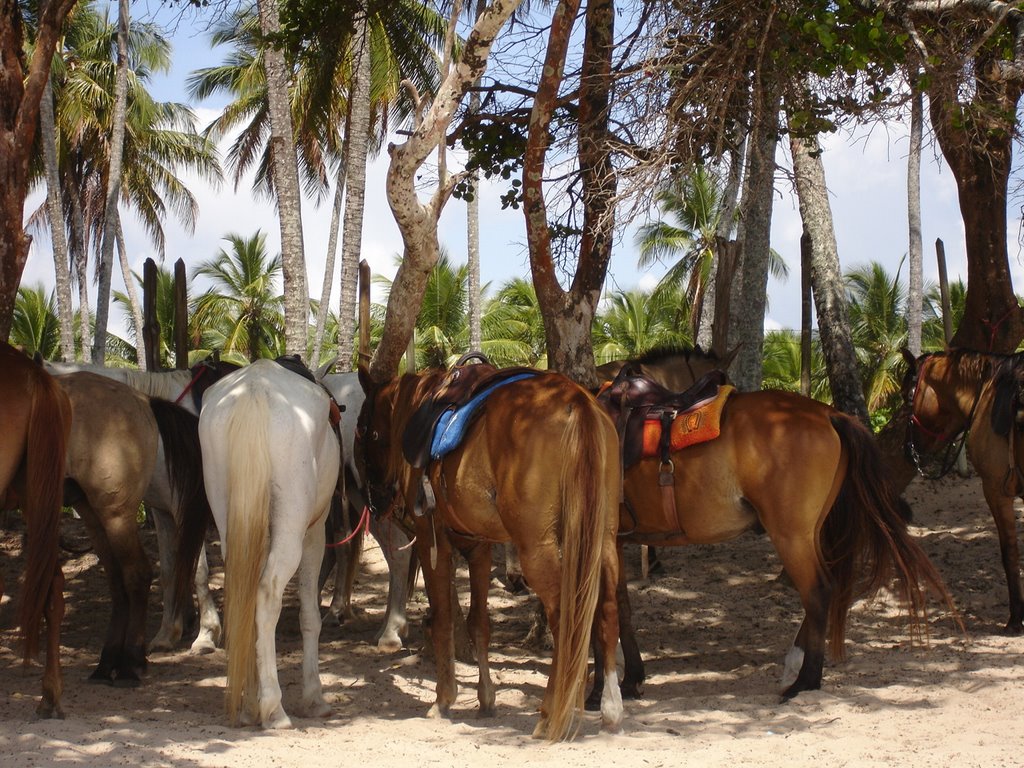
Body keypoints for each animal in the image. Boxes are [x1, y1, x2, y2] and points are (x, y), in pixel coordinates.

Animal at [181, 358, 344, 729]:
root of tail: (254, 392)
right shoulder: (314, 532)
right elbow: (309, 616)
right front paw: (314, 698)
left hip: (229, 517)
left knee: (244, 594)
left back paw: (248, 704)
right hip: (292, 530)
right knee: (267, 595)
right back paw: (273, 707)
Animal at [356, 364, 618, 741]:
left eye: (363, 430)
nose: (375, 502)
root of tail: (575, 400)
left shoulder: (431, 540)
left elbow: (444, 620)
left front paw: (444, 700)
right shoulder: (478, 545)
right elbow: (479, 623)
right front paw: (485, 699)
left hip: (537, 549)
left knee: (563, 618)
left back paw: (550, 714)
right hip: (604, 540)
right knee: (607, 609)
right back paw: (611, 708)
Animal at [598, 364, 954, 708]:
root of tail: (829, 414)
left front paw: (606, 688)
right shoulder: (615, 541)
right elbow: (622, 607)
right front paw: (631, 679)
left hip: (790, 535)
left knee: (818, 591)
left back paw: (805, 681)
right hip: (810, 532)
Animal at [901, 352, 1024, 634]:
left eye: (905, 396)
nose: (907, 448)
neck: (987, 394)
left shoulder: (995, 490)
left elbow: (1009, 553)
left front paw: (1015, 619)